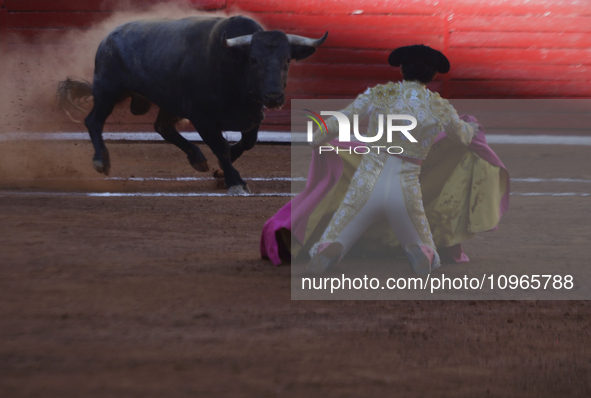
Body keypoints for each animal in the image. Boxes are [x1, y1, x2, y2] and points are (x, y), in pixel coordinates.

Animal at [59, 16, 328, 194]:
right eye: (253, 59)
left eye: (287, 60)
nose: (273, 97)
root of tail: (108, 37)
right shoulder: (202, 118)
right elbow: (221, 147)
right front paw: (234, 181)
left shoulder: (253, 116)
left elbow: (246, 144)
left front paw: (220, 172)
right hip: (107, 90)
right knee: (94, 121)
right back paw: (101, 161)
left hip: (166, 101)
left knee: (163, 128)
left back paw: (197, 158)